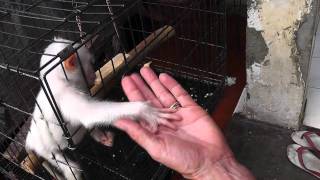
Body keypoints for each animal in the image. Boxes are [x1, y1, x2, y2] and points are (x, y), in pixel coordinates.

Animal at [25, 37, 180, 179]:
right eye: (87, 65)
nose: (93, 75)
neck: (55, 80)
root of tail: (30, 140)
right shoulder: (63, 95)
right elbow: (88, 113)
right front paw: (145, 111)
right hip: (44, 147)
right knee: (58, 158)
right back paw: (70, 170)